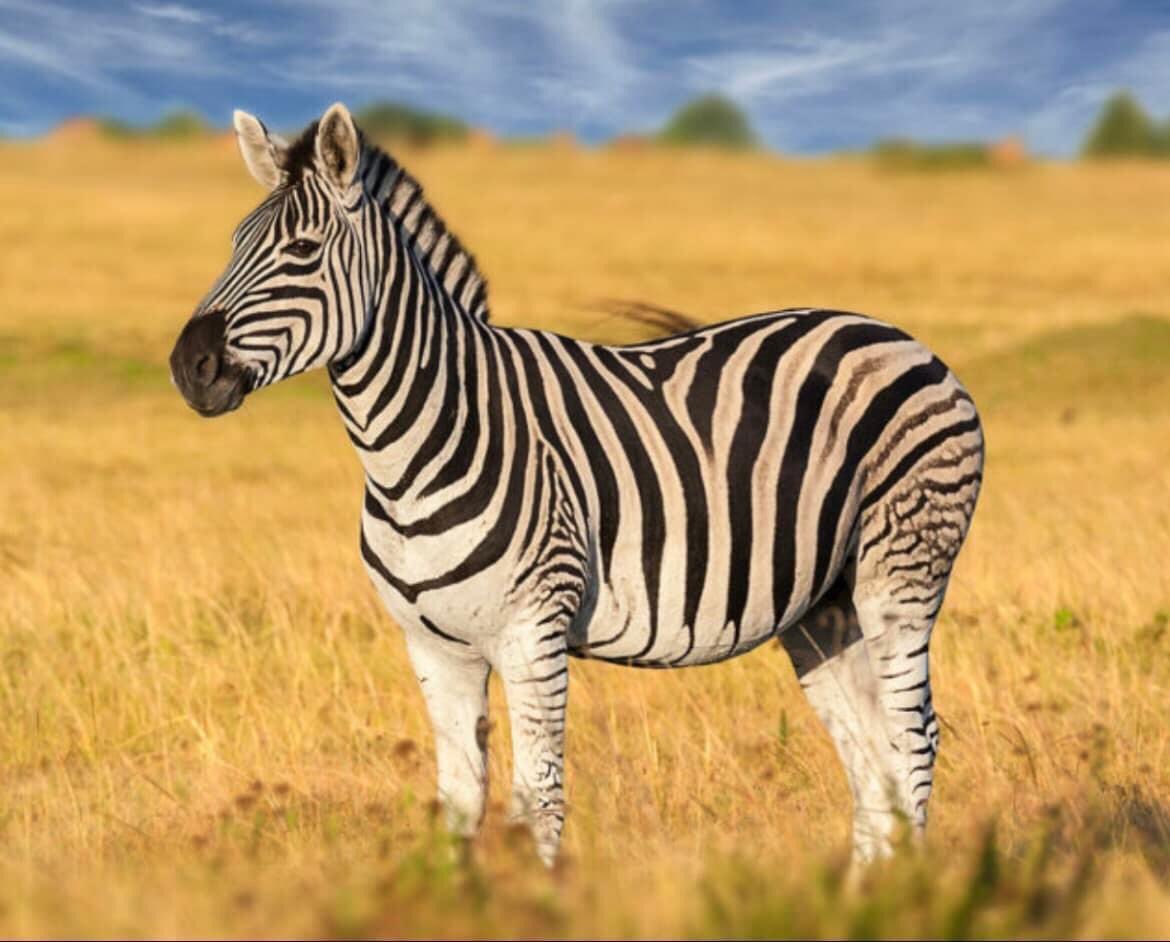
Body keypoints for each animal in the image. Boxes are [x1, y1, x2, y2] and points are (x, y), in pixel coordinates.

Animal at [170, 103, 984, 867]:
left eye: (301, 251)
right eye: (234, 244)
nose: (189, 367)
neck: (415, 447)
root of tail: (895, 335)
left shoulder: (534, 632)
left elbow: (539, 801)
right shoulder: (433, 646)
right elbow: (461, 802)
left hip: (900, 571)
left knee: (913, 740)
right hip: (822, 606)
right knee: (870, 755)